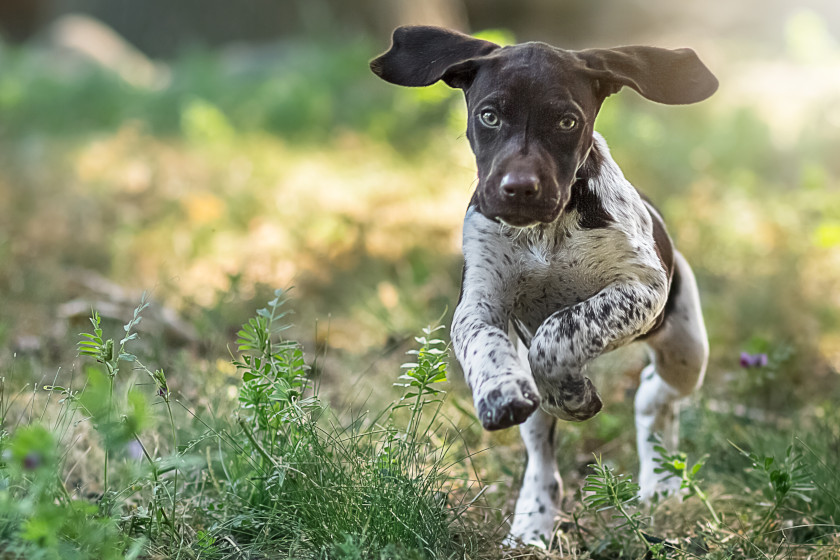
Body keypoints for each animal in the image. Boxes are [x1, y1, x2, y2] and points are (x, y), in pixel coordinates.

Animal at [370, 25, 720, 544]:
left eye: (566, 122)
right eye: (489, 115)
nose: (519, 188)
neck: (544, 232)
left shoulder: (642, 288)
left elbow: (561, 331)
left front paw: (572, 394)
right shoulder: (478, 304)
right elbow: (487, 345)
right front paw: (501, 392)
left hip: (685, 346)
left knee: (654, 396)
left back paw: (661, 482)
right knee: (542, 455)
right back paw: (532, 521)